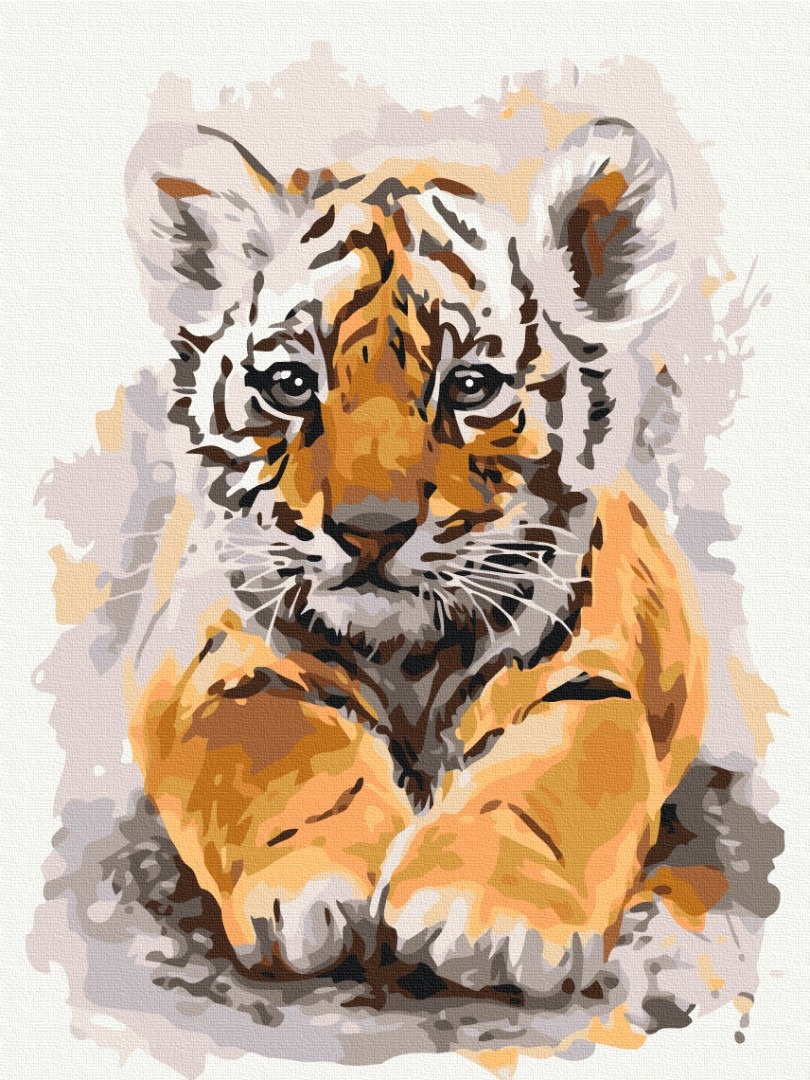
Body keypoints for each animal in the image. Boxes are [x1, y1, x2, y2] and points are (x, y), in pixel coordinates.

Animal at [125, 114, 709, 995]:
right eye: (292, 383)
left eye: (469, 388)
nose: (371, 527)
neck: (407, 658)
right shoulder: (219, 656)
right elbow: (280, 750)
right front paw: (321, 886)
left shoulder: (587, 674)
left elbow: (546, 782)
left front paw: (487, 911)